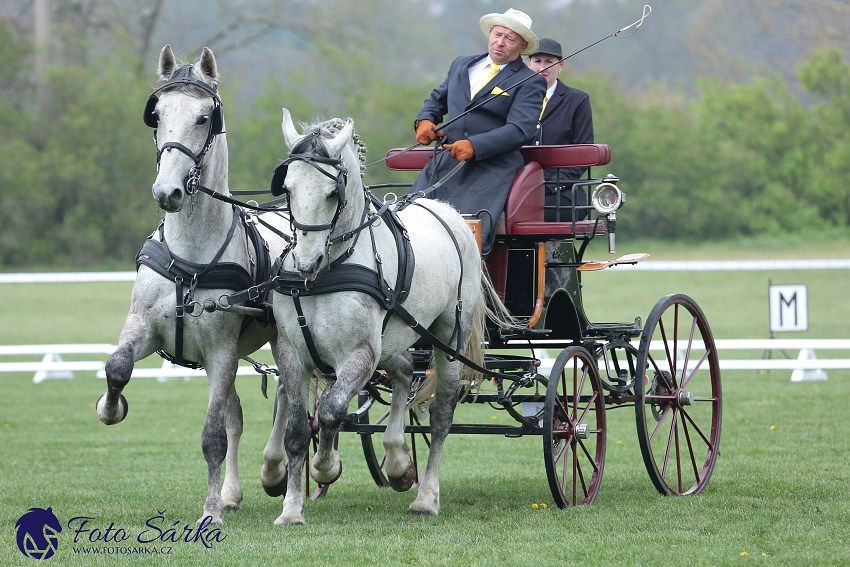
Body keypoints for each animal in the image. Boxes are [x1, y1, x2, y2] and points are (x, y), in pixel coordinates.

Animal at [95, 46, 290, 524]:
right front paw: (110, 407)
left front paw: (210, 511)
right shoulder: (145, 327)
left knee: (288, 396)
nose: (167, 192)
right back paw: (233, 492)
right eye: (158, 114)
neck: (190, 259)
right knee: (237, 415)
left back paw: (274, 472)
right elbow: (118, 367)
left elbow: (212, 435)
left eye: (204, 118)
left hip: (281, 341)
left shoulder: (220, 351)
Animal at [258, 112, 484, 528]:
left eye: (332, 194)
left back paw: (426, 497)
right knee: (404, 372)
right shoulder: (293, 354)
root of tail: (450, 213)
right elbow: (297, 430)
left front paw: (325, 467)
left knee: (441, 416)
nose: (306, 263)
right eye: (288, 190)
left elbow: (331, 410)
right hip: (394, 338)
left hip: (449, 338)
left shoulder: (360, 354)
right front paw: (292, 509)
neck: (332, 268)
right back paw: (397, 461)